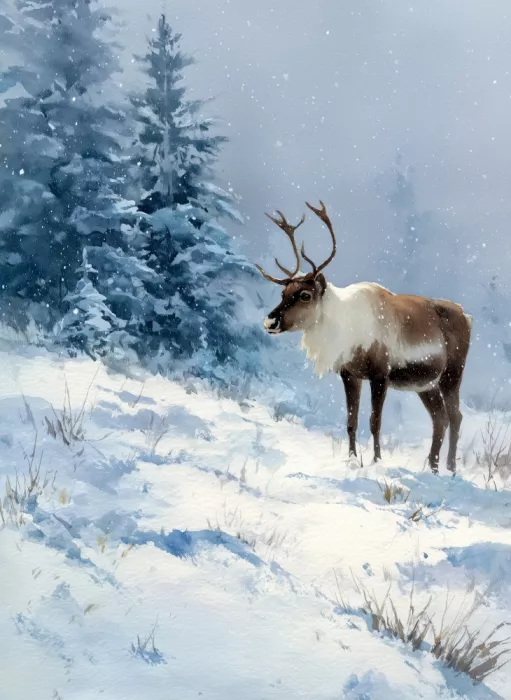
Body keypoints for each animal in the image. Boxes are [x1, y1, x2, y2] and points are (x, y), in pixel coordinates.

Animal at [256, 201, 472, 475]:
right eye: (283, 293)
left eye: (305, 295)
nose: (270, 321)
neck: (345, 331)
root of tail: (467, 316)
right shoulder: (350, 374)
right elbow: (352, 421)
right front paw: (351, 459)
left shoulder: (380, 374)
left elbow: (375, 421)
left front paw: (376, 461)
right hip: (426, 384)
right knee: (440, 418)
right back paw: (432, 468)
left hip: (452, 374)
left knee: (455, 417)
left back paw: (451, 468)